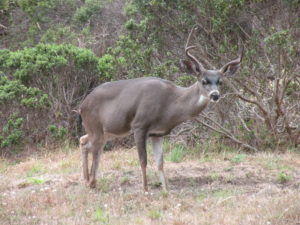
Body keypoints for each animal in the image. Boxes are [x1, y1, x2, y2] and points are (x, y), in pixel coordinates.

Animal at [76, 25, 243, 192]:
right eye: (204, 81)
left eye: (220, 81)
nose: (215, 95)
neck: (169, 104)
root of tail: (82, 106)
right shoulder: (139, 125)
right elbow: (143, 160)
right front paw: (146, 190)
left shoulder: (157, 133)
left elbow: (160, 163)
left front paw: (166, 190)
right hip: (96, 126)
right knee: (93, 148)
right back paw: (90, 181)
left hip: (107, 132)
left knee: (84, 141)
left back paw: (89, 181)